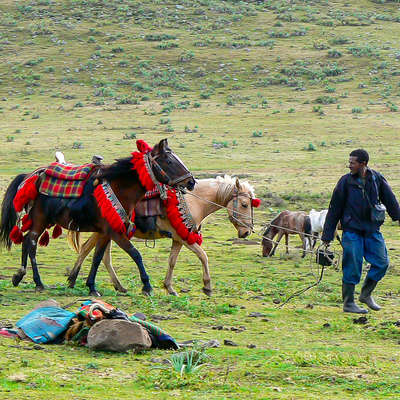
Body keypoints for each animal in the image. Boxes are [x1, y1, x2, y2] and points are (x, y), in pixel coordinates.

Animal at [0, 139, 195, 296]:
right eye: (169, 161)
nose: (191, 182)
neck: (120, 188)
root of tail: (31, 175)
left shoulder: (105, 232)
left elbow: (97, 257)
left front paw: (91, 287)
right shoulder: (115, 231)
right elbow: (135, 253)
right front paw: (147, 286)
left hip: (42, 221)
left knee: (27, 241)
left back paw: (19, 276)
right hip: (40, 221)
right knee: (31, 243)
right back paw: (37, 282)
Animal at [67, 176, 258, 296]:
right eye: (244, 204)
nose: (247, 232)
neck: (195, 201)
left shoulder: (178, 239)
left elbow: (172, 261)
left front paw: (169, 288)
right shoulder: (185, 238)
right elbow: (203, 256)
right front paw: (207, 286)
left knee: (98, 254)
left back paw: (113, 285)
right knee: (89, 250)